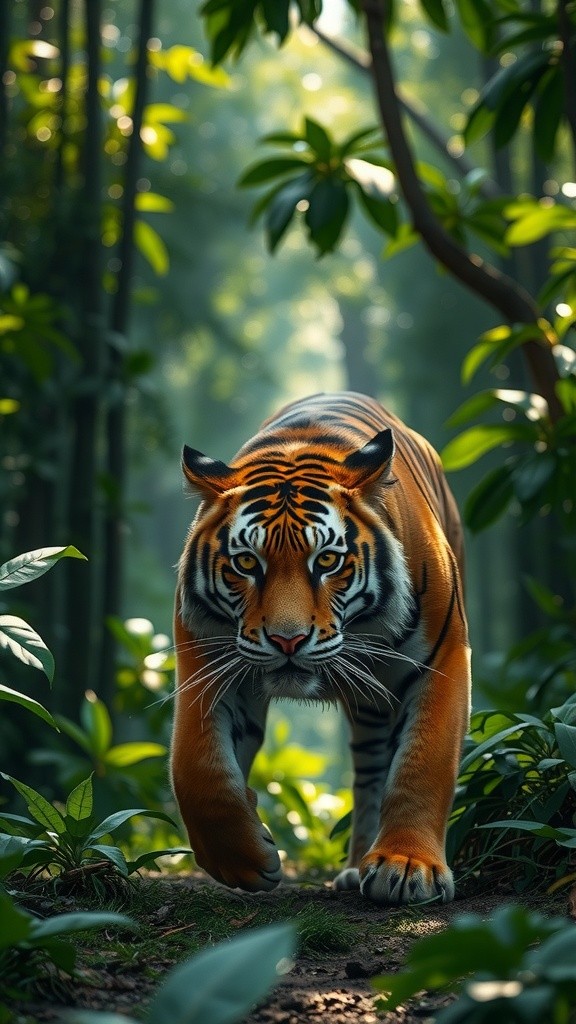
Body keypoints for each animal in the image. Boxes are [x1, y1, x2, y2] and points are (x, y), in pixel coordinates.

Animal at [171, 391, 471, 904]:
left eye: (327, 560)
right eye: (247, 563)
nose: (287, 639)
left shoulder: (443, 658)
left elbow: (422, 765)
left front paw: (409, 866)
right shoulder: (206, 660)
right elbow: (196, 767)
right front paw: (246, 861)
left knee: (376, 775)